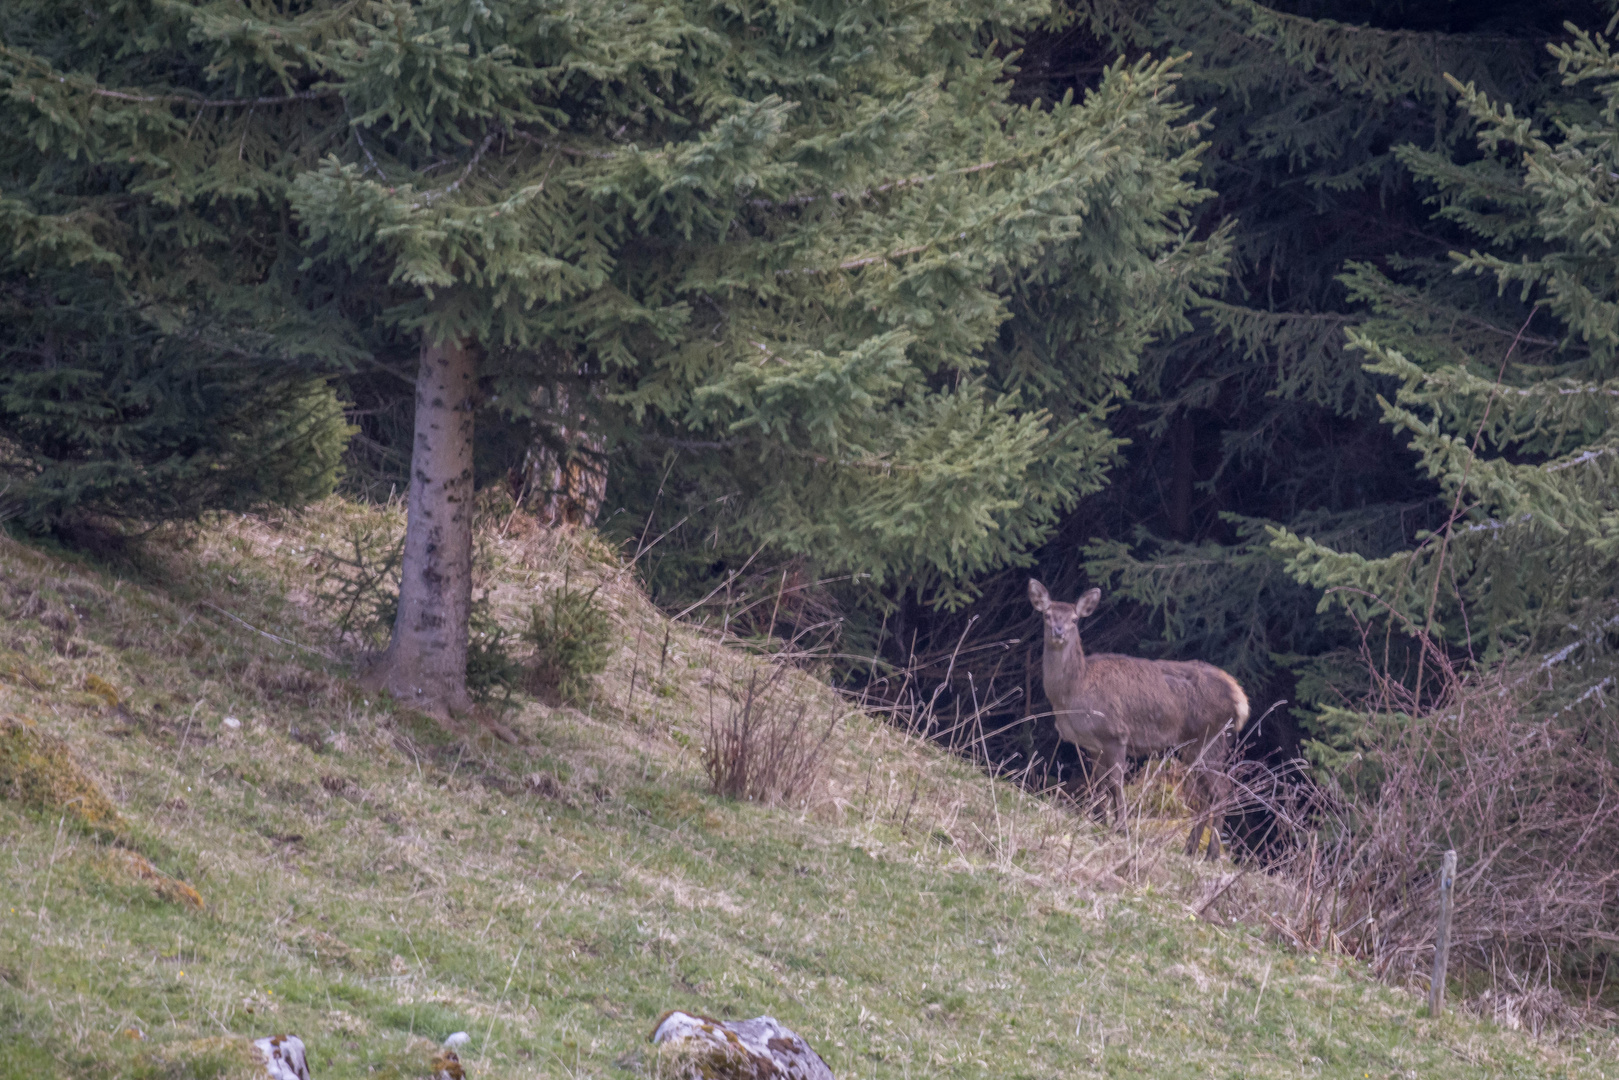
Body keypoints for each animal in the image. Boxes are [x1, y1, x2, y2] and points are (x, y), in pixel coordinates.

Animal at [1023, 582, 1249, 861]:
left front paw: (1121, 828)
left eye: (1074, 619)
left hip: (1211, 737)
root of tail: (1240, 699)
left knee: (1222, 790)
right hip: (1195, 746)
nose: (1058, 631)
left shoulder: (1115, 734)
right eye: (1047, 615)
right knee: (1207, 794)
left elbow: (1116, 783)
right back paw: (1190, 847)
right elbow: (1098, 782)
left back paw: (1212, 853)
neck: (1074, 691)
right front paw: (1098, 820)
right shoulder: (1092, 745)